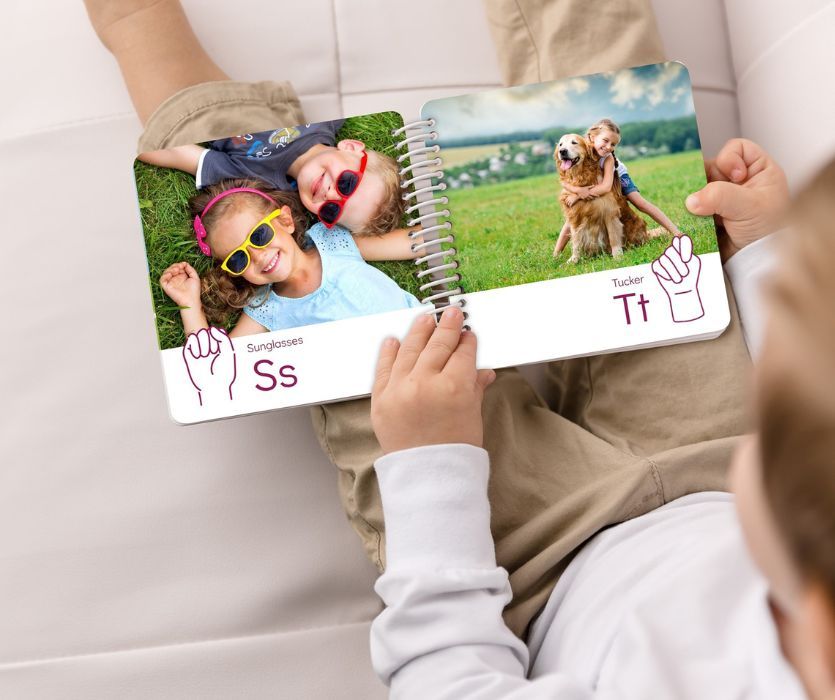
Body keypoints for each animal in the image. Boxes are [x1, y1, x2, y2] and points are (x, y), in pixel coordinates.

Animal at [556, 134, 660, 262]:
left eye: (574, 142)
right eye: (560, 144)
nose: (562, 151)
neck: (582, 179)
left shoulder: (610, 213)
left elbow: (613, 237)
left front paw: (617, 256)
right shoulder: (575, 216)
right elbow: (576, 240)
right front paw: (574, 260)